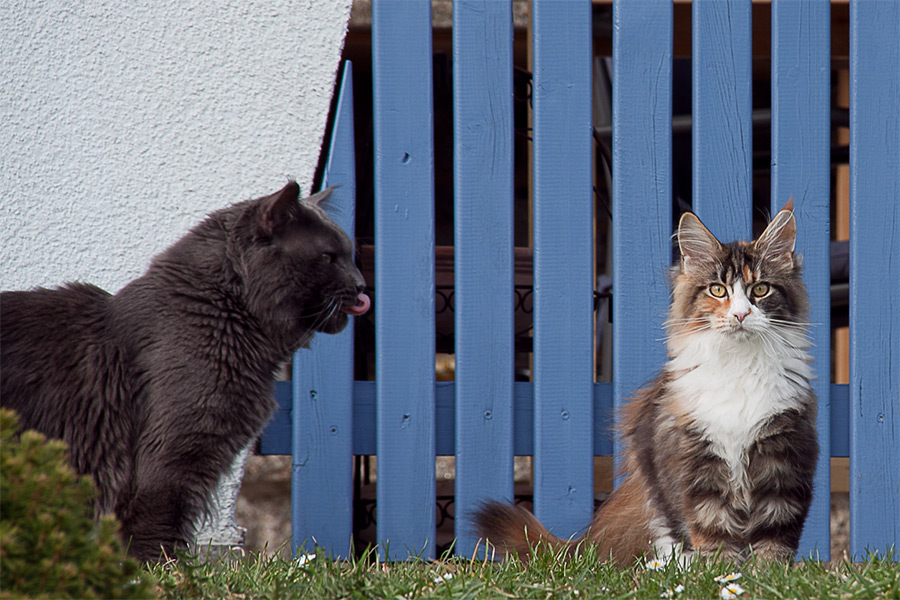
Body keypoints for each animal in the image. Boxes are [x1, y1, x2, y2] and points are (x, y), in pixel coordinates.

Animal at [0, 181, 370, 561]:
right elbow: (158, 520)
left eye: (349, 255)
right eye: (328, 257)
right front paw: (163, 568)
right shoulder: (172, 453)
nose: (361, 285)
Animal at [474, 201, 817, 565]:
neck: (739, 364)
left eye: (760, 290)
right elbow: (713, 530)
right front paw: (720, 571)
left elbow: (775, 534)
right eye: (718, 290)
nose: (740, 315)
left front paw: (766, 572)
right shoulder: (699, 461)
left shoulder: (784, 457)